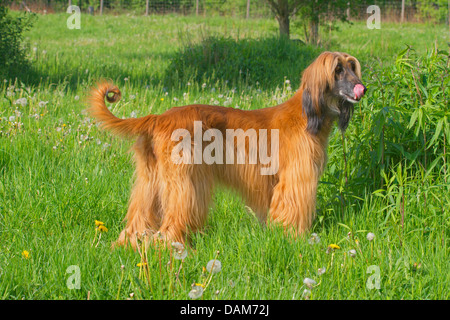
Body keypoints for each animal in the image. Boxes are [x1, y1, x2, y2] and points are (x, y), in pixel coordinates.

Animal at [88, 52, 366, 248]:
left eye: (353, 67)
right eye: (337, 70)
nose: (361, 89)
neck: (307, 116)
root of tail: (158, 117)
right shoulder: (296, 179)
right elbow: (291, 211)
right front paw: (293, 238)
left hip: (151, 180)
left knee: (137, 220)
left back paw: (128, 245)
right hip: (186, 182)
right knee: (171, 224)